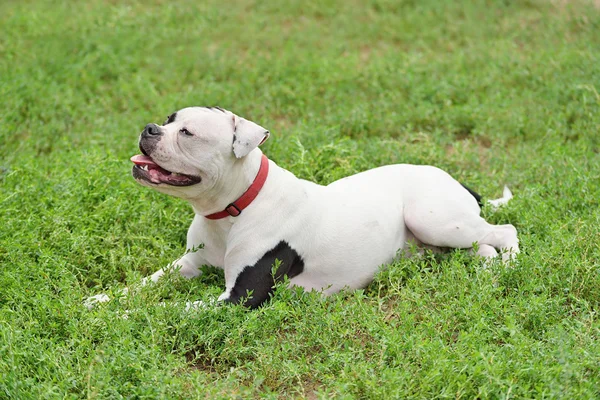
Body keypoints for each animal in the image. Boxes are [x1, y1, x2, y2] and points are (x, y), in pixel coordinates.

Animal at [85, 106, 520, 310]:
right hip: (443, 236)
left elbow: (169, 309)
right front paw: (104, 300)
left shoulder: (240, 297)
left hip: (434, 218)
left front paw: (119, 317)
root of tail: (454, 179)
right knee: (483, 244)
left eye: (188, 133)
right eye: (168, 119)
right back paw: (487, 270)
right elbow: (148, 283)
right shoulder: (189, 263)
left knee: (505, 231)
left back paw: (510, 266)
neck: (232, 209)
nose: (150, 129)